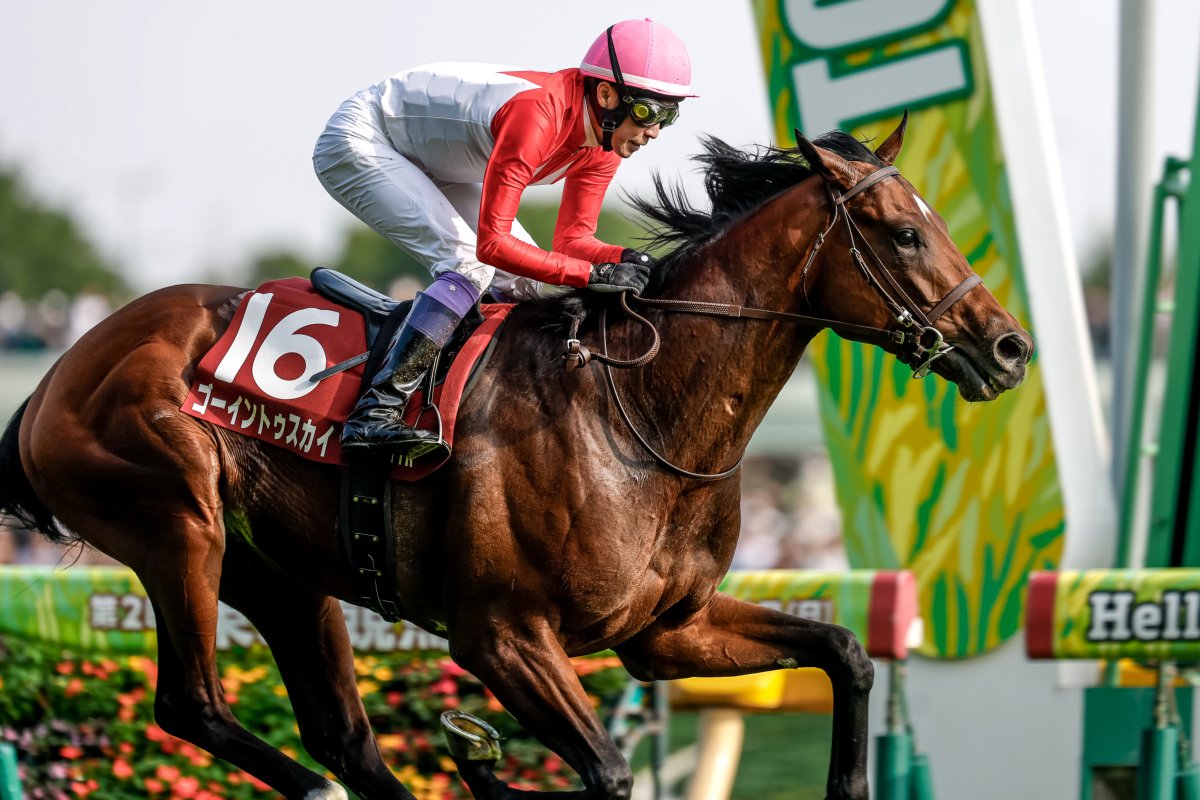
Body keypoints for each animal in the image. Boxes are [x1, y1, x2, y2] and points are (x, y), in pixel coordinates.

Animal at [0, 116, 1031, 800]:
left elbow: (847, 652)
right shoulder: (500, 635)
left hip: (285, 575)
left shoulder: (667, 630)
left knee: (343, 736)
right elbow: (609, 772)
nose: (1010, 347)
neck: (639, 421)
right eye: (906, 233)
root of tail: (54, 376)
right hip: (179, 525)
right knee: (192, 704)